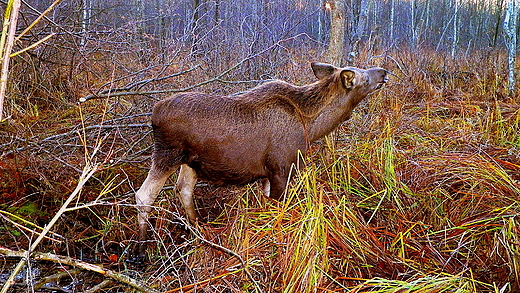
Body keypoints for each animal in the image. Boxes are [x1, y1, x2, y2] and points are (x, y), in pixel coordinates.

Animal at [134, 61, 386, 242]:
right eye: (364, 77)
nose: (383, 71)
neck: (311, 125)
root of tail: (153, 114)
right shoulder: (282, 168)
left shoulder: (268, 173)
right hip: (167, 154)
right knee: (144, 196)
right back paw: (141, 248)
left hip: (190, 162)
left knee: (183, 189)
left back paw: (198, 228)